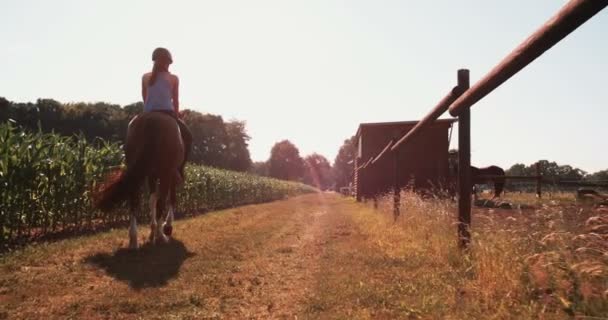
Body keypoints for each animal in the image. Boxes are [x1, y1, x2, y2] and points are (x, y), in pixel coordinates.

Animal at [94, 111, 184, 249]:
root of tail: (152, 120)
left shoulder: (152, 175)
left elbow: (152, 199)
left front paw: (153, 231)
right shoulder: (169, 175)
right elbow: (169, 198)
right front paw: (167, 227)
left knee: (134, 199)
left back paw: (134, 239)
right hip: (165, 173)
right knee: (161, 201)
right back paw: (161, 236)